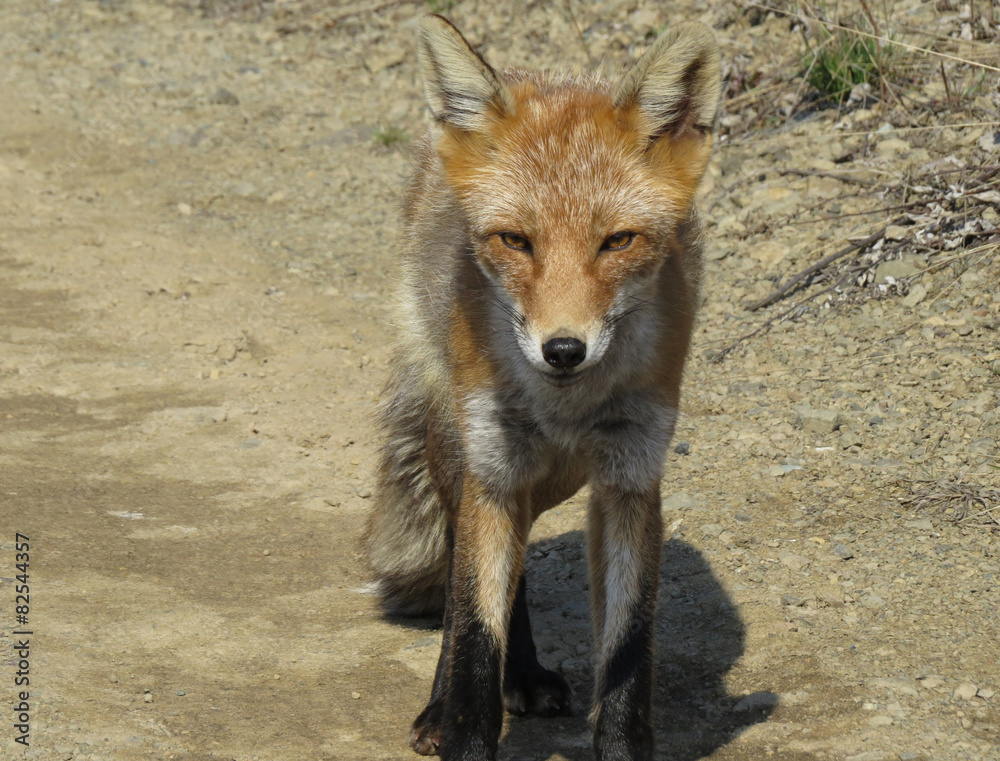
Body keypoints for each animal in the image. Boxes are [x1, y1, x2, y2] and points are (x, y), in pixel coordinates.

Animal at [363, 14, 721, 761]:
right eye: (515, 241)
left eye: (618, 241)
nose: (563, 350)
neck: (566, 407)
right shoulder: (494, 469)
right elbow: (475, 633)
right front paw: (463, 726)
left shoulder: (630, 475)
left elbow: (627, 650)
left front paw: (620, 744)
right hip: (461, 446)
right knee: (468, 585)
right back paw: (455, 698)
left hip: (546, 474)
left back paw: (522, 675)